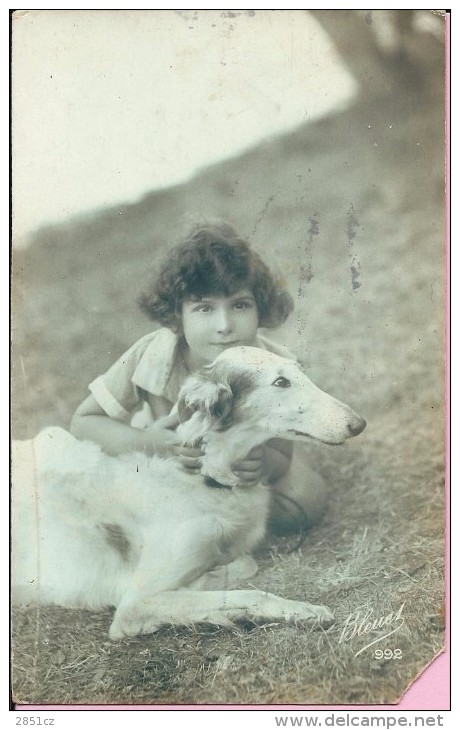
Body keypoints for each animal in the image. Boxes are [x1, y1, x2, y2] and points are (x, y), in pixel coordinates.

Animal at [11, 344, 366, 636]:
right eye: (280, 383)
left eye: (299, 372)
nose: (359, 423)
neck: (207, 479)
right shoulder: (134, 605)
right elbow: (247, 592)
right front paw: (301, 610)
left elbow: (243, 563)